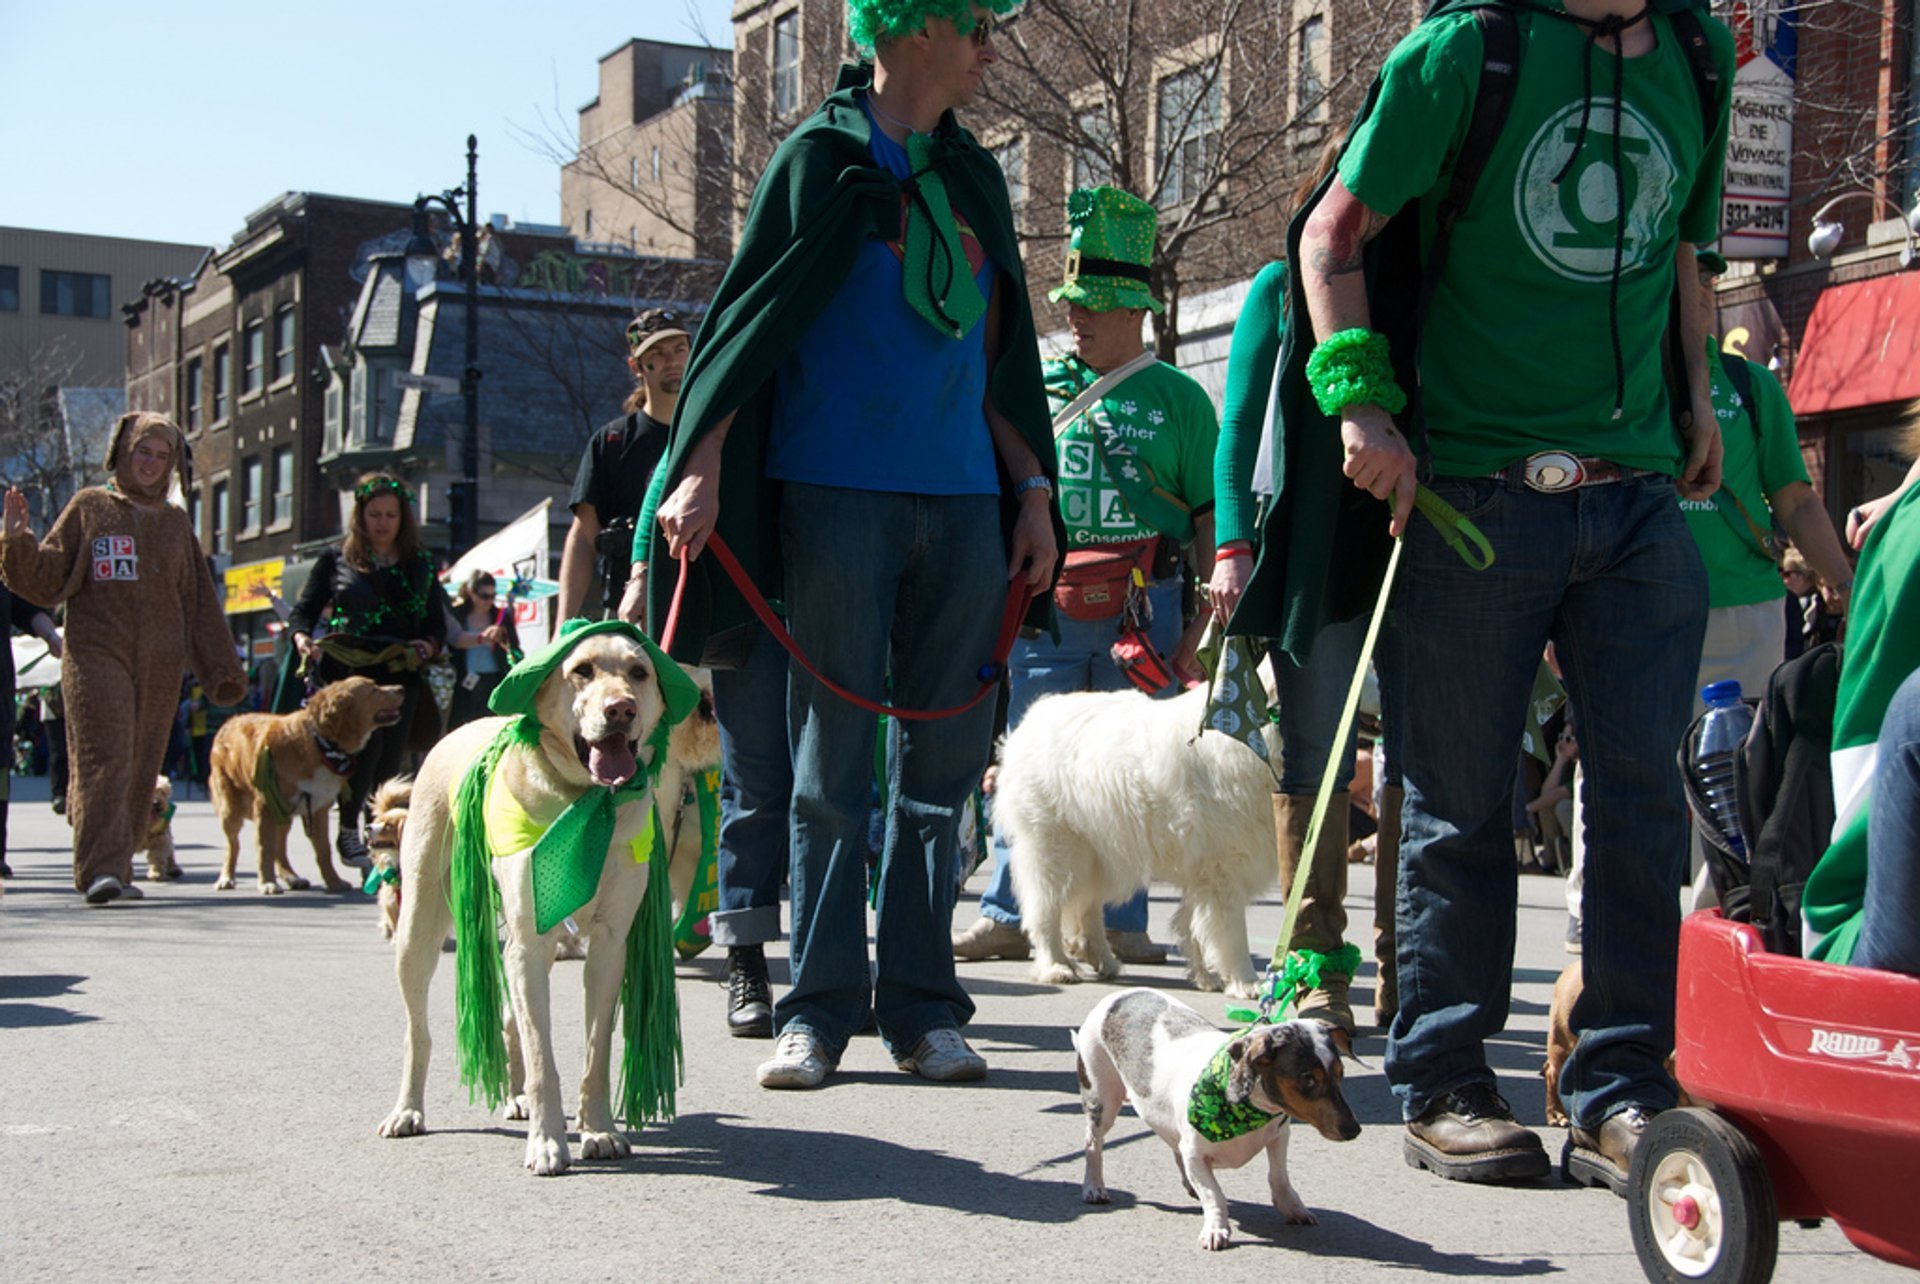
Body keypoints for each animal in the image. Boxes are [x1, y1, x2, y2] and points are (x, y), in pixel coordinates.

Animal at [206, 675, 405, 898]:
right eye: (373, 690)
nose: (401, 688)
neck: (321, 743)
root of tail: (230, 720)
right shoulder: (265, 806)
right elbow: (264, 847)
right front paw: (267, 882)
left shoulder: (318, 807)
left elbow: (323, 850)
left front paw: (333, 881)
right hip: (231, 809)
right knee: (233, 845)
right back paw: (226, 877)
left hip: (284, 814)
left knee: (280, 846)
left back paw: (292, 877)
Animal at [998, 687, 1282, 998]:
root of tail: (1035, 714)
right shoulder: (1223, 868)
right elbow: (1231, 933)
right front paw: (1248, 982)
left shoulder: (1204, 873)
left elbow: (1194, 925)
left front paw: (1206, 977)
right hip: (1056, 850)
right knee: (1045, 910)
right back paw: (1057, 968)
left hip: (1101, 854)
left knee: (1087, 907)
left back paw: (1103, 959)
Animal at [1075, 990, 1359, 1243]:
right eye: (1308, 1079)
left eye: (1340, 1072)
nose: (1353, 1130)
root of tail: (1116, 997)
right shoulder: (1196, 1156)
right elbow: (1214, 1194)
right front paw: (1216, 1228)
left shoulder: (1279, 1135)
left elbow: (1278, 1176)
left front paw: (1293, 1208)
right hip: (1102, 1100)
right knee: (1093, 1144)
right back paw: (1094, 1186)